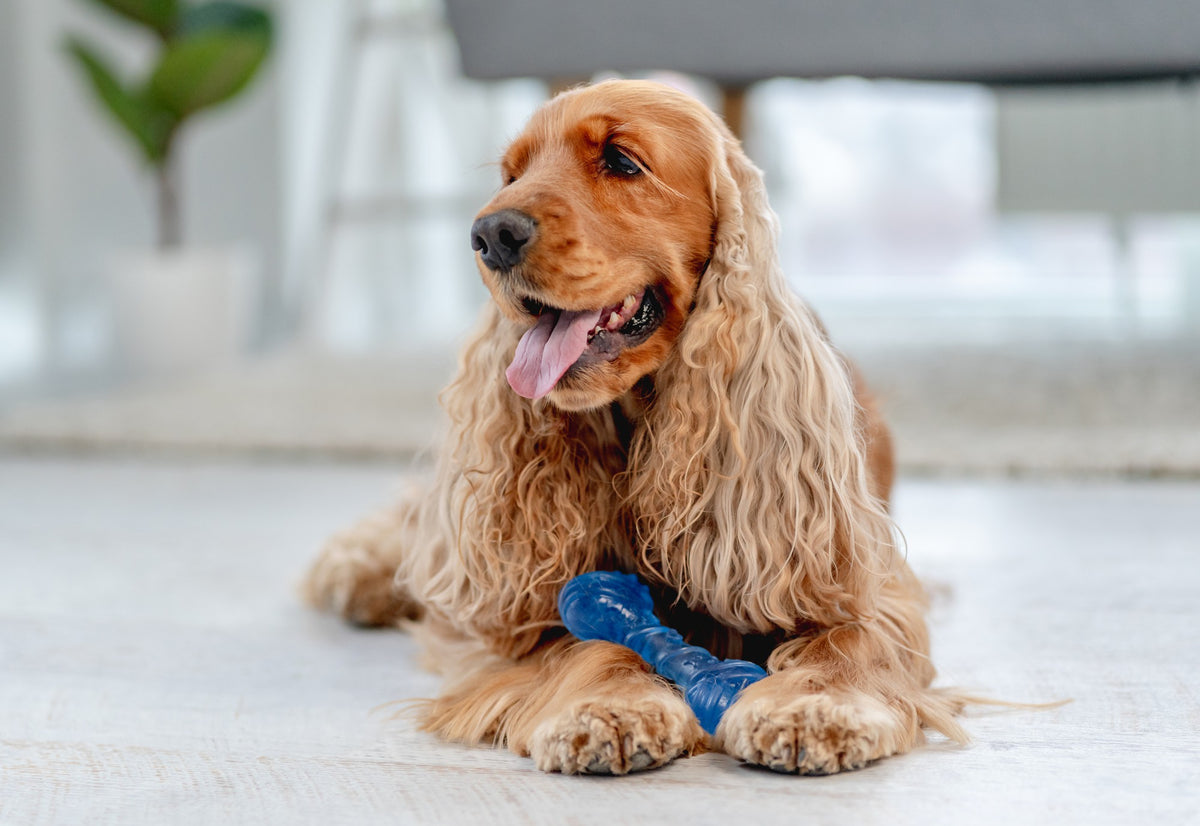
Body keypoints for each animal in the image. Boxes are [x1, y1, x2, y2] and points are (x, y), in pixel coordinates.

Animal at [304, 77, 969, 773]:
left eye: (622, 161)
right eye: (512, 175)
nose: (490, 233)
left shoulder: (854, 574)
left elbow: (851, 639)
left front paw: (813, 708)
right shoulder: (544, 597)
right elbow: (589, 640)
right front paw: (611, 708)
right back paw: (358, 571)